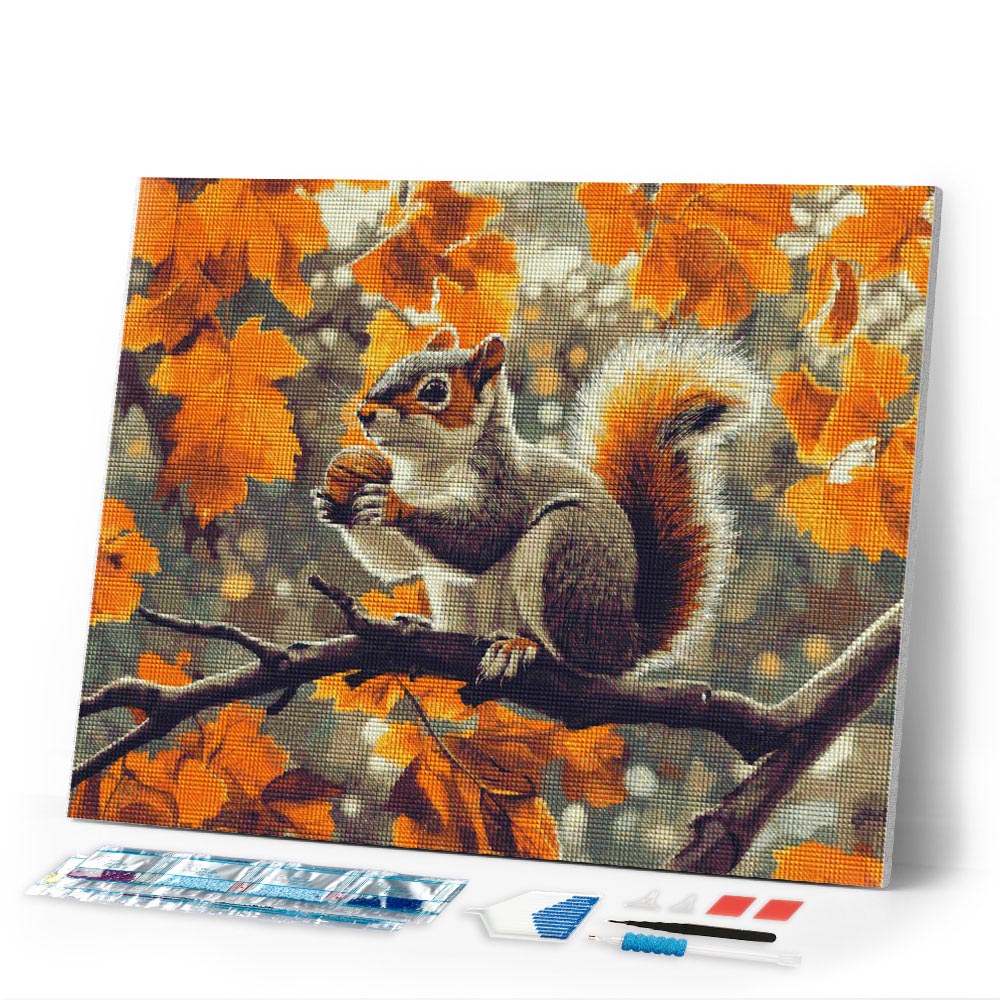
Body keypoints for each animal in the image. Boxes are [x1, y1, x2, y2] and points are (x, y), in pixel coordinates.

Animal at [315, 326, 765, 682]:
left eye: (434, 390)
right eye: (393, 365)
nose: (364, 412)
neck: (428, 469)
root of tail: (627, 643)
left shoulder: (503, 483)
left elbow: (482, 537)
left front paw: (392, 505)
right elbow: (397, 561)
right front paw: (337, 496)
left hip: (570, 557)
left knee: (574, 659)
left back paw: (520, 647)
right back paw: (428, 626)